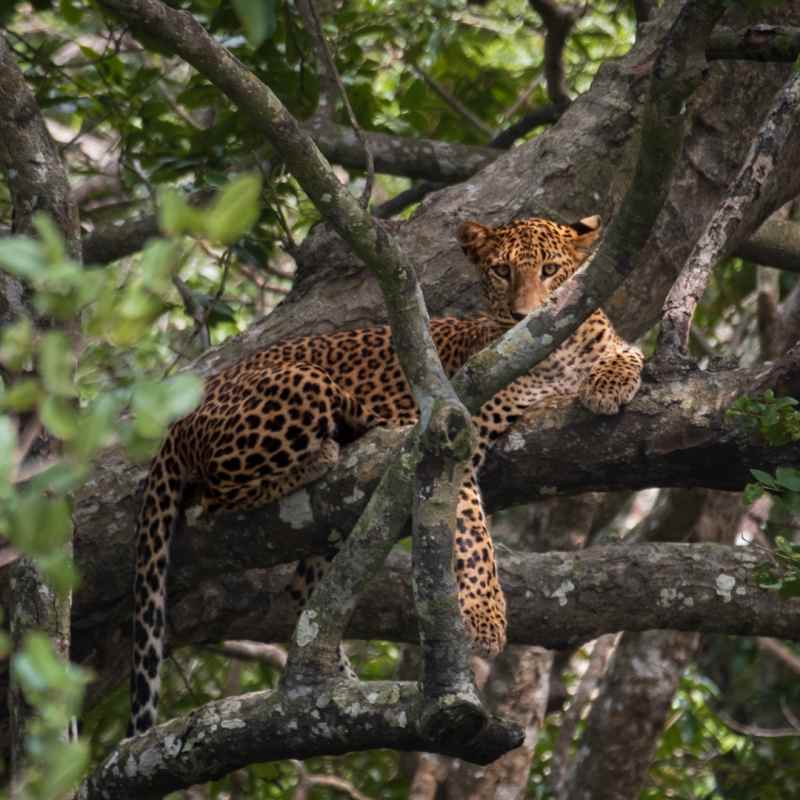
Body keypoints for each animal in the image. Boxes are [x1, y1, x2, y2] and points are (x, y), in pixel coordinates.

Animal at [128, 213, 644, 735]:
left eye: (551, 270)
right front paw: (484, 617)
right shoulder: (451, 437)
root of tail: (189, 405)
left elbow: (627, 353)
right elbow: (473, 537)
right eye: (501, 272)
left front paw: (609, 382)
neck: (554, 358)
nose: (524, 318)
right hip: (305, 383)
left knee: (299, 592)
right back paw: (322, 455)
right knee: (212, 497)